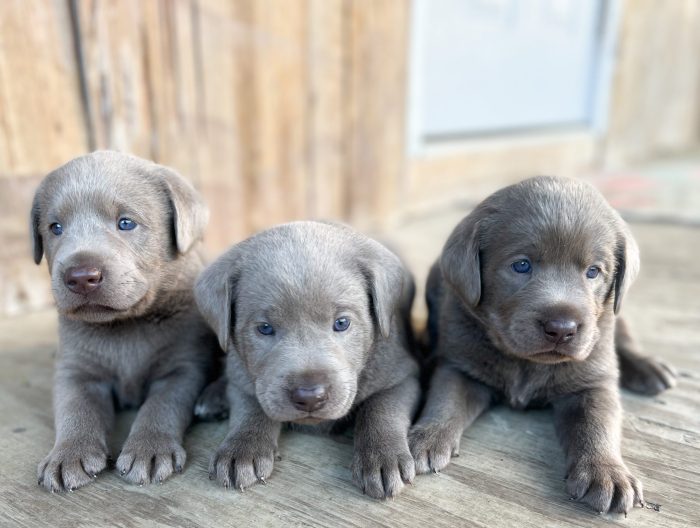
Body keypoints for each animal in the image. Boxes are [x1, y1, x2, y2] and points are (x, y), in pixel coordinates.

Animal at [31, 151, 217, 492]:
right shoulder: (75, 371)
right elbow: (74, 408)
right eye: (56, 227)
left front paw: (149, 450)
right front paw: (68, 455)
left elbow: (161, 405)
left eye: (126, 223)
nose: (81, 276)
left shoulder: (183, 367)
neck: (124, 325)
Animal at [194, 222, 418, 500]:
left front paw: (382, 457)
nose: (310, 396)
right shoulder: (243, 376)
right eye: (265, 328)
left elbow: (381, 409)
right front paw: (242, 448)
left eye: (342, 323)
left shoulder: (402, 375)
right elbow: (252, 405)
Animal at [408, 175, 676, 512]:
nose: (561, 329)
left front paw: (607, 472)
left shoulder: (592, 381)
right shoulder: (461, 365)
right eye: (522, 265)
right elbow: (445, 399)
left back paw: (648, 367)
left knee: (624, 333)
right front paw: (426, 437)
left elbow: (598, 422)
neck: (527, 363)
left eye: (593, 271)